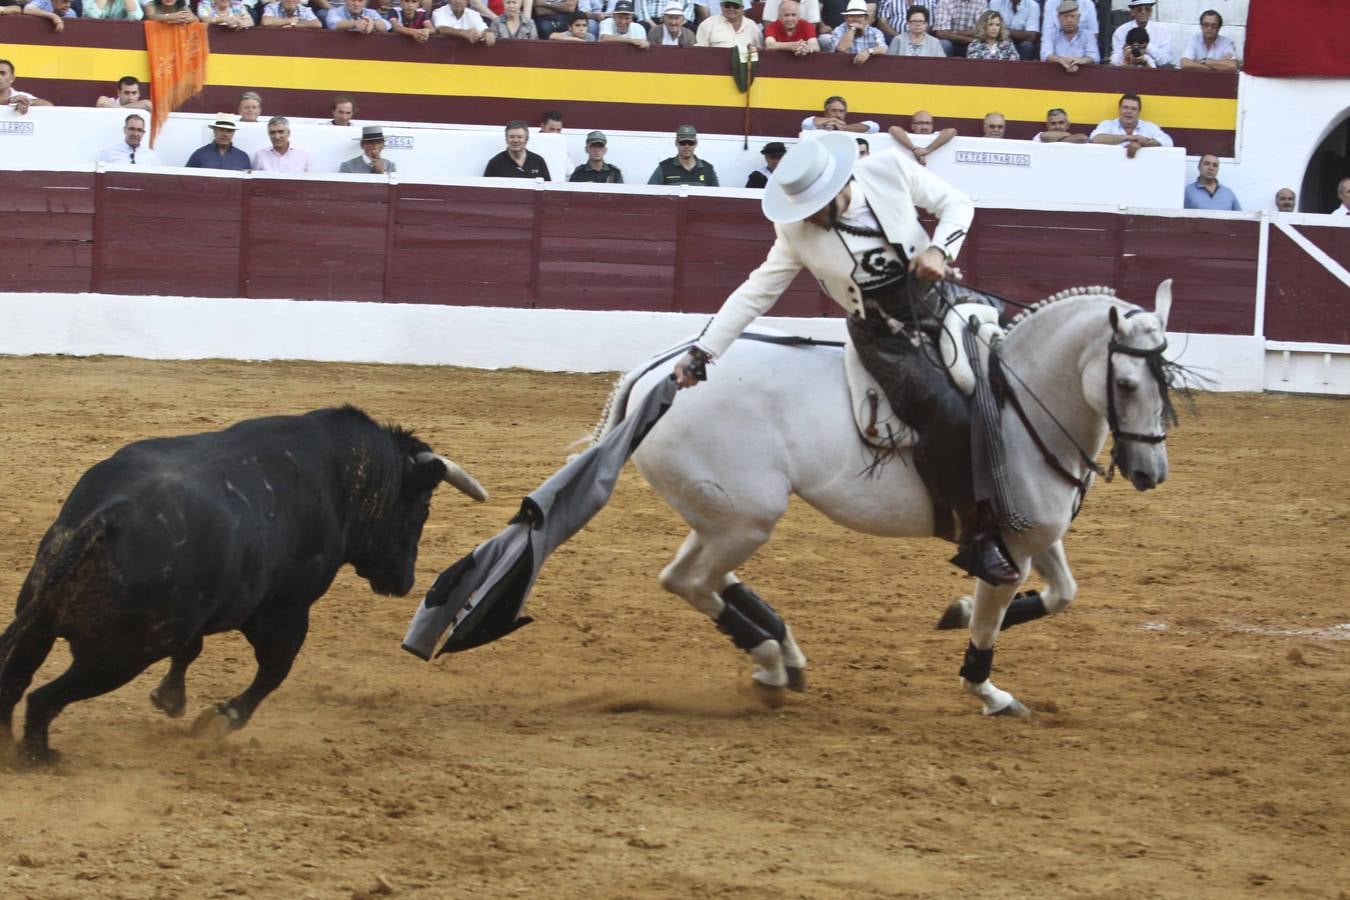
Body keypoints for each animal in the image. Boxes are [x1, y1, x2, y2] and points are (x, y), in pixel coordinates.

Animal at [0, 407, 486, 766]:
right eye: (421, 508)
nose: (404, 581)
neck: (343, 476)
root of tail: (109, 515)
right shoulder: (286, 611)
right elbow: (275, 669)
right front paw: (220, 718)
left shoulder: (204, 610)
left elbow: (192, 649)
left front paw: (170, 699)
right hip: (119, 656)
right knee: (43, 697)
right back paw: (39, 756)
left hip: (41, 621)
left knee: (15, 680)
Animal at [596, 282, 1177, 717]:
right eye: (1126, 383)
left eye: (1166, 377)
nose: (1150, 472)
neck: (1019, 405)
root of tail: (659, 372)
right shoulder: (1009, 547)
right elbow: (989, 625)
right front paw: (988, 692)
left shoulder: (1038, 536)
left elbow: (1062, 594)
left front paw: (958, 611)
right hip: (748, 519)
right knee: (690, 580)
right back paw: (772, 661)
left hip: (723, 516)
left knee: (694, 576)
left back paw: (781, 652)